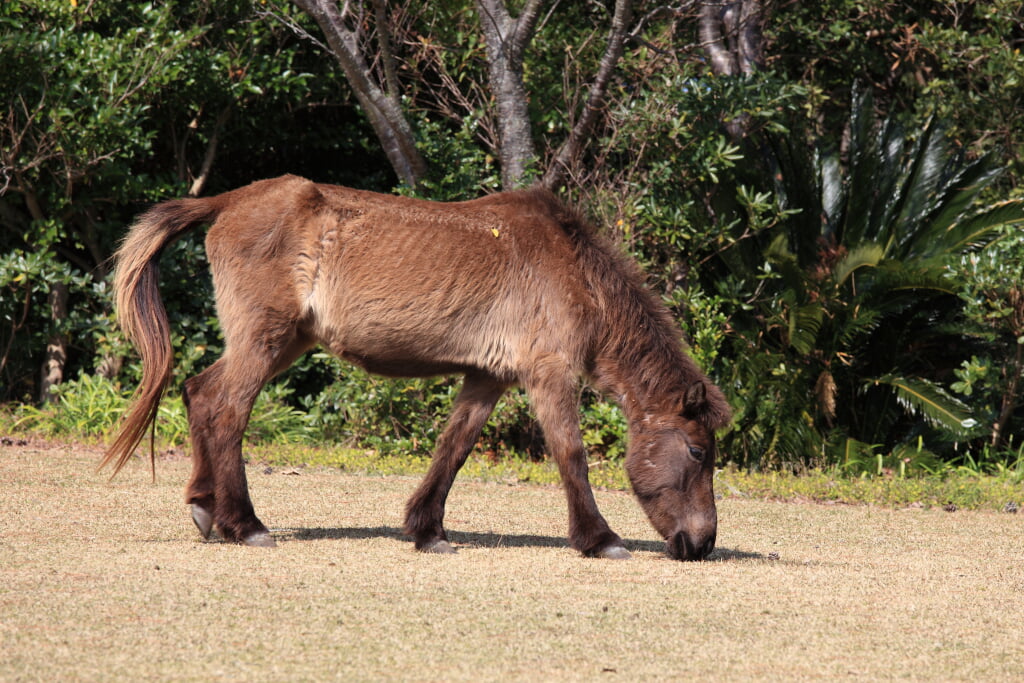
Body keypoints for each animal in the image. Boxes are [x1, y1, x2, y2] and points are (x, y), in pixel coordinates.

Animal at [101, 175, 729, 561]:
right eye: (699, 452)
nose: (701, 544)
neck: (573, 269)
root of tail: (227, 201)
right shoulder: (548, 373)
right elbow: (570, 454)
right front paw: (599, 538)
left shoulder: (489, 377)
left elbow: (453, 448)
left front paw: (427, 530)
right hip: (264, 340)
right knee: (225, 409)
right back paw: (246, 524)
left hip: (284, 343)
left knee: (200, 393)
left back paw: (206, 508)